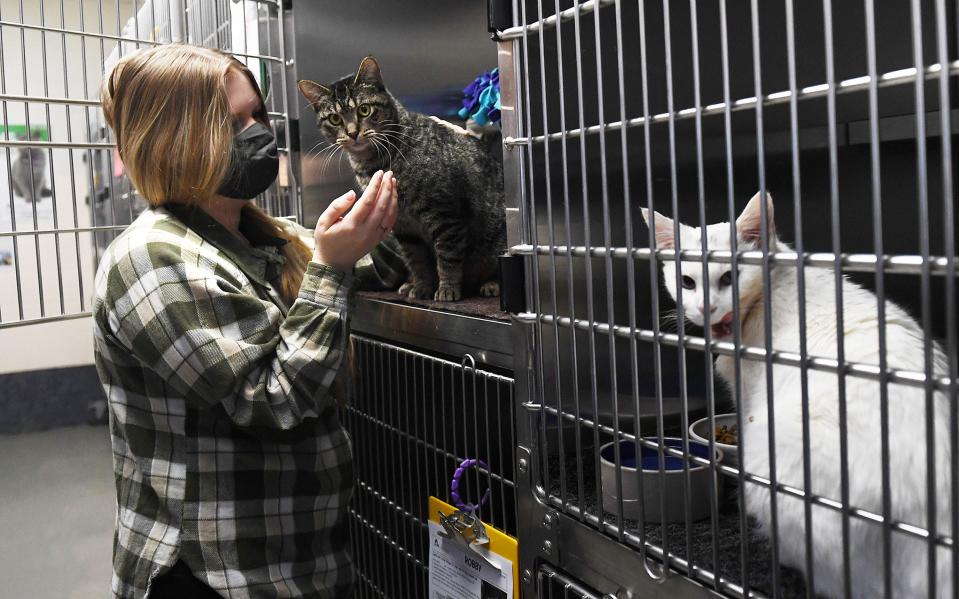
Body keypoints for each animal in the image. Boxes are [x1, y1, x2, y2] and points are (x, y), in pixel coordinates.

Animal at [298, 56, 510, 302]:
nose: (352, 133)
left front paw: (447, 288)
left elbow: (447, 258)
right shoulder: (405, 229)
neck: (374, 163)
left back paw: (492, 284)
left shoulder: (445, 215)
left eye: (364, 109)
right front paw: (422, 286)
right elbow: (419, 263)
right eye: (334, 118)